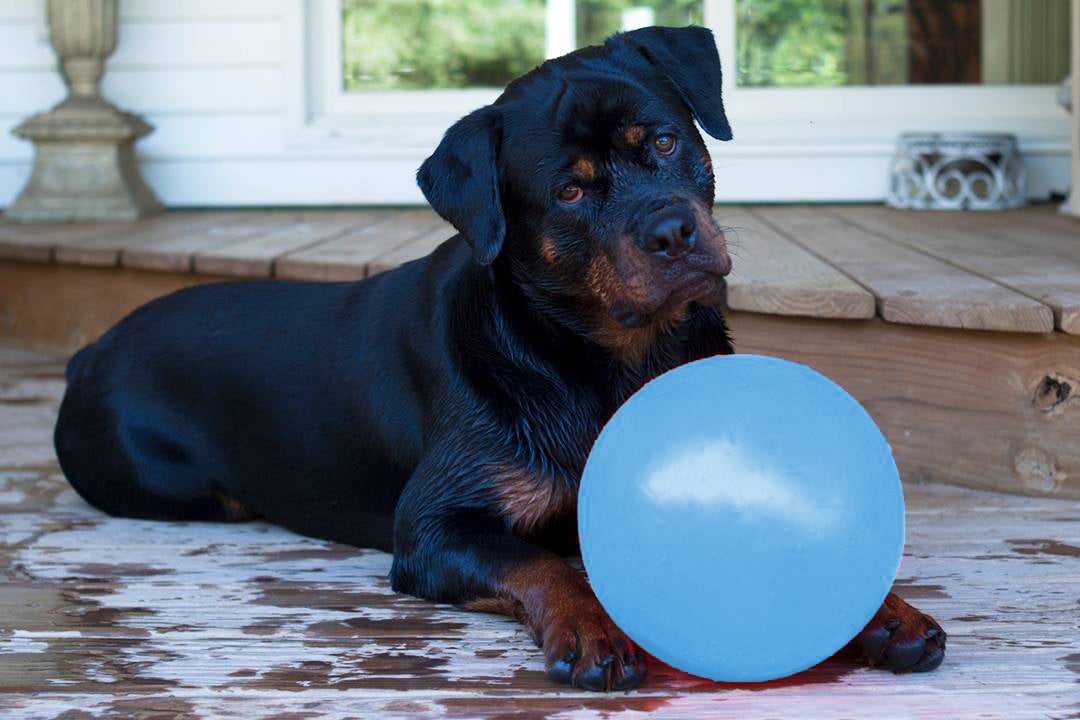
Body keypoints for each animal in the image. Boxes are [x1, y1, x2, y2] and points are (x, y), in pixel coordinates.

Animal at [52, 26, 946, 690]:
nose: (672, 232)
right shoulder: (435, 525)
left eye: (663, 141)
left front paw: (885, 614)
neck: (611, 361)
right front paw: (591, 629)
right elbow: (543, 564)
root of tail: (89, 350)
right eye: (571, 193)